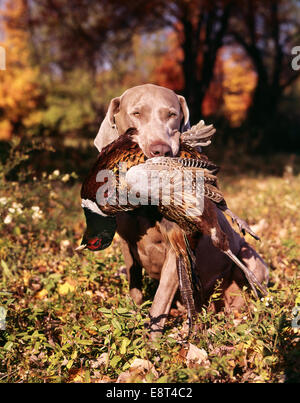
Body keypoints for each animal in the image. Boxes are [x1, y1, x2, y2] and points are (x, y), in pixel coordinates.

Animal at [94, 83, 270, 336]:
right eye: (136, 113)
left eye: (172, 114)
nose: (161, 150)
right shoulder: (128, 245)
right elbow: (135, 290)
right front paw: (129, 322)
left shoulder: (177, 247)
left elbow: (159, 301)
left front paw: (151, 342)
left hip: (253, 262)